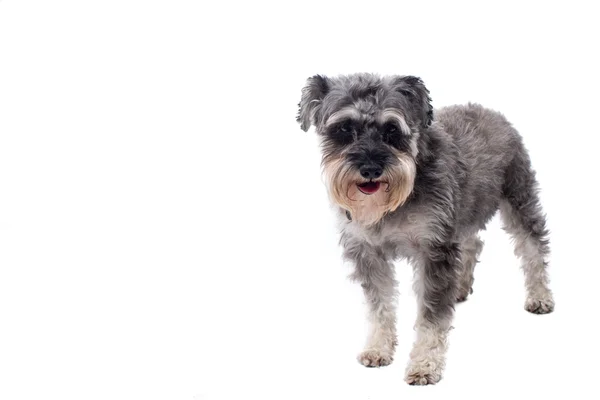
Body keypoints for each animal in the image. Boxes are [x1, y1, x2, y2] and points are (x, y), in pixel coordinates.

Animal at [296, 74, 552, 384]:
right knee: (473, 243)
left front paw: (425, 364)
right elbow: (379, 304)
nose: (370, 169)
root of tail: (490, 112)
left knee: (532, 246)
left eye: (392, 129)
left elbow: (432, 316)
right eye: (344, 128)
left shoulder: (434, 249)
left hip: (518, 198)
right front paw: (378, 348)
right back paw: (460, 286)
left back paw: (540, 296)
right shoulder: (368, 252)